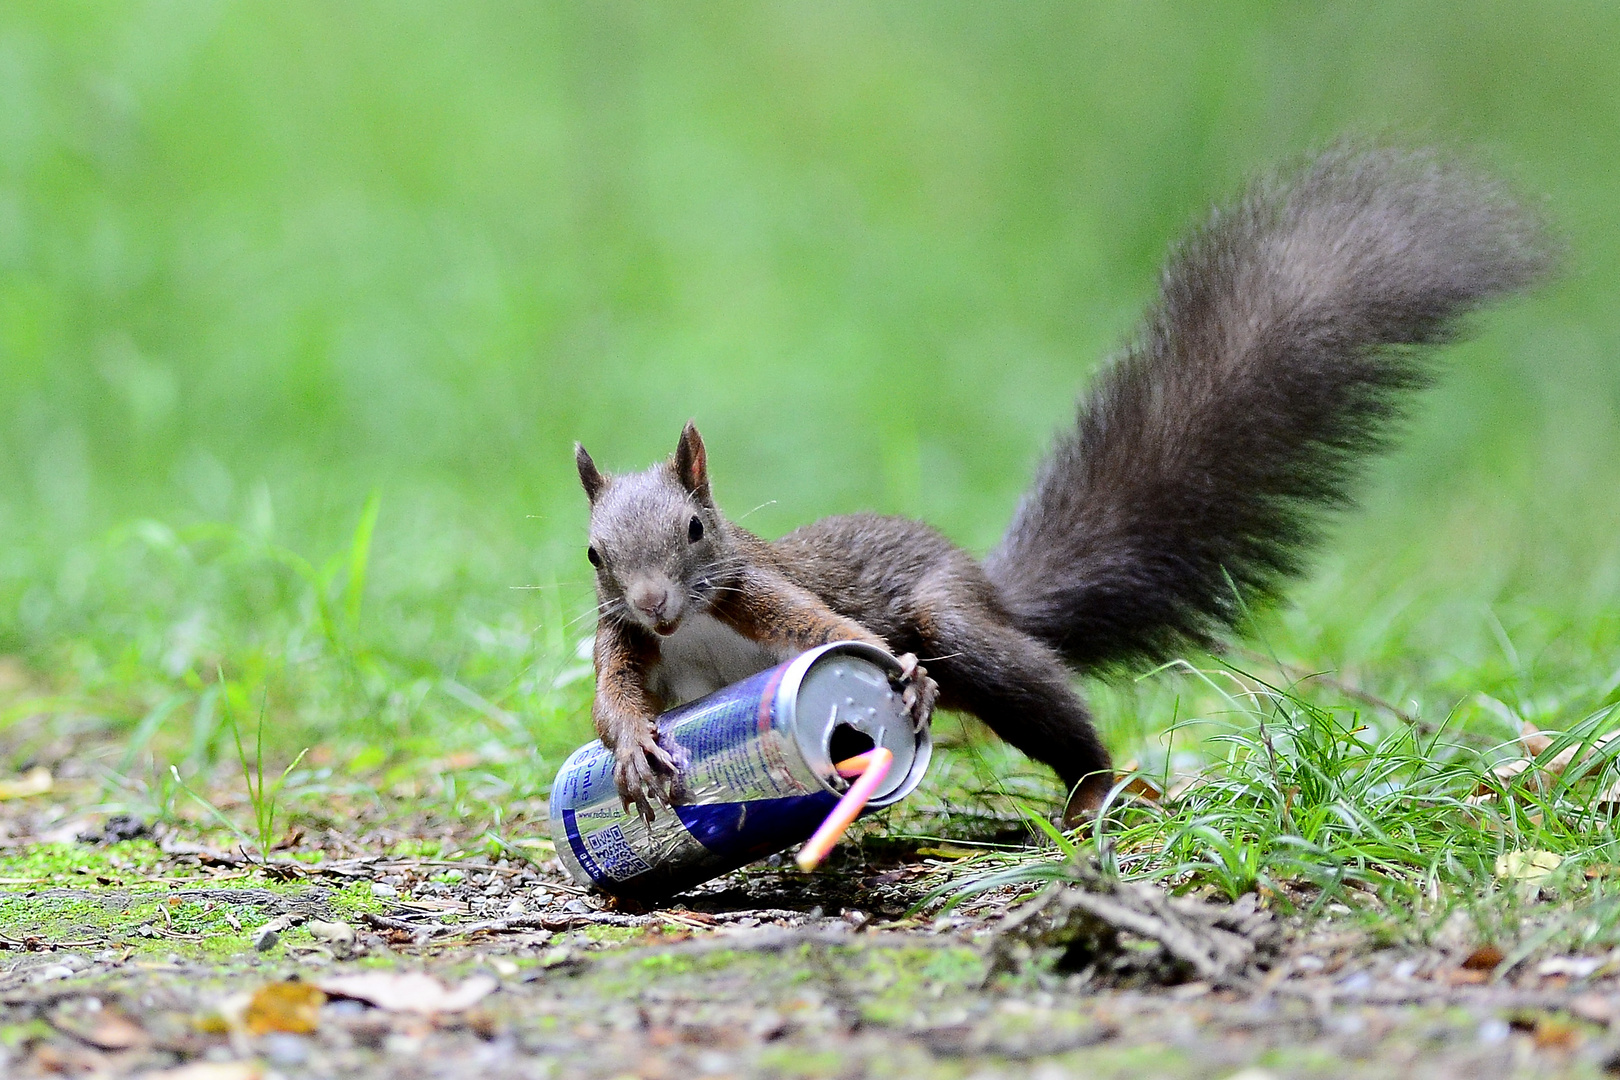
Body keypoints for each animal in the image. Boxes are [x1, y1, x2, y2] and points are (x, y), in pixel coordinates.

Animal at [573, 141, 1555, 819]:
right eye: (593, 555)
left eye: (697, 528)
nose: (657, 604)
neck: (698, 626)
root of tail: (995, 590)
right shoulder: (624, 640)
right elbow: (611, 700)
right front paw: (634, 750)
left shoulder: (759, 592)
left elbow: (832, 628)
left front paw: (896, 675)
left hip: (957, 622)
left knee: (1047, 703)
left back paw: (1091, 791)